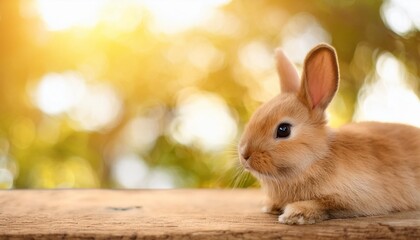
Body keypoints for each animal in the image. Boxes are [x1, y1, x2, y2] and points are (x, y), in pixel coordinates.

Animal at [238, 43, 420, 225]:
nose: (245, 155)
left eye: (284, 130)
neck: (317, 158)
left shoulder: (357, 197)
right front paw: (270, 206)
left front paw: (294, 214)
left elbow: (324, 204)